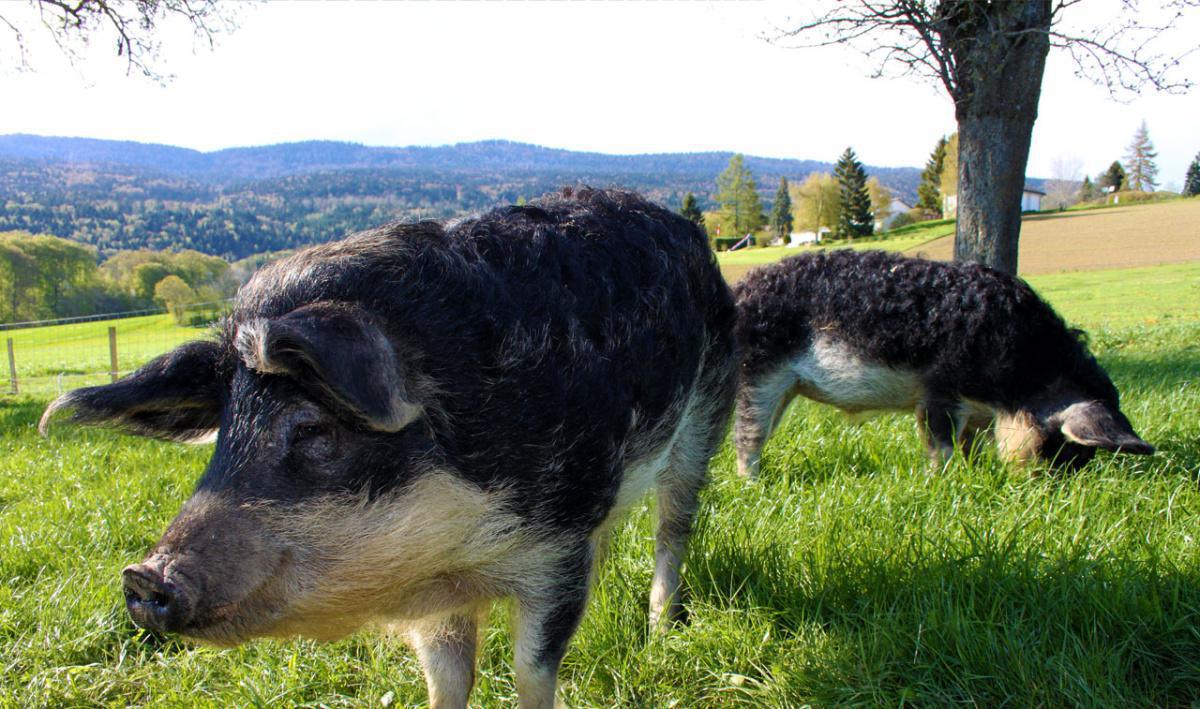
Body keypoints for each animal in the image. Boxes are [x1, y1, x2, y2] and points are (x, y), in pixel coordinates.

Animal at [42, 188, 734, 709]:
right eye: (223, 437)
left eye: (313, 430)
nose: (142, 576)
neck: (452, 553)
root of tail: (682, 224)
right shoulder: (438, 604)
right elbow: (447, 682)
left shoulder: (558, 544)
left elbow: (533, 673)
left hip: (706, 413)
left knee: (673, 527)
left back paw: (659, 630)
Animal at [729, 248, 1152, 477]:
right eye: (1061, 445)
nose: (1053, 488)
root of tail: (737, 292)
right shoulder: (939, 388)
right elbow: (940, 444)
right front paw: (943, 480)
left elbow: (971, 445)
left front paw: (976, 471)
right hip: (759, 373)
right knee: (748, 435)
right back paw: (753, 483)